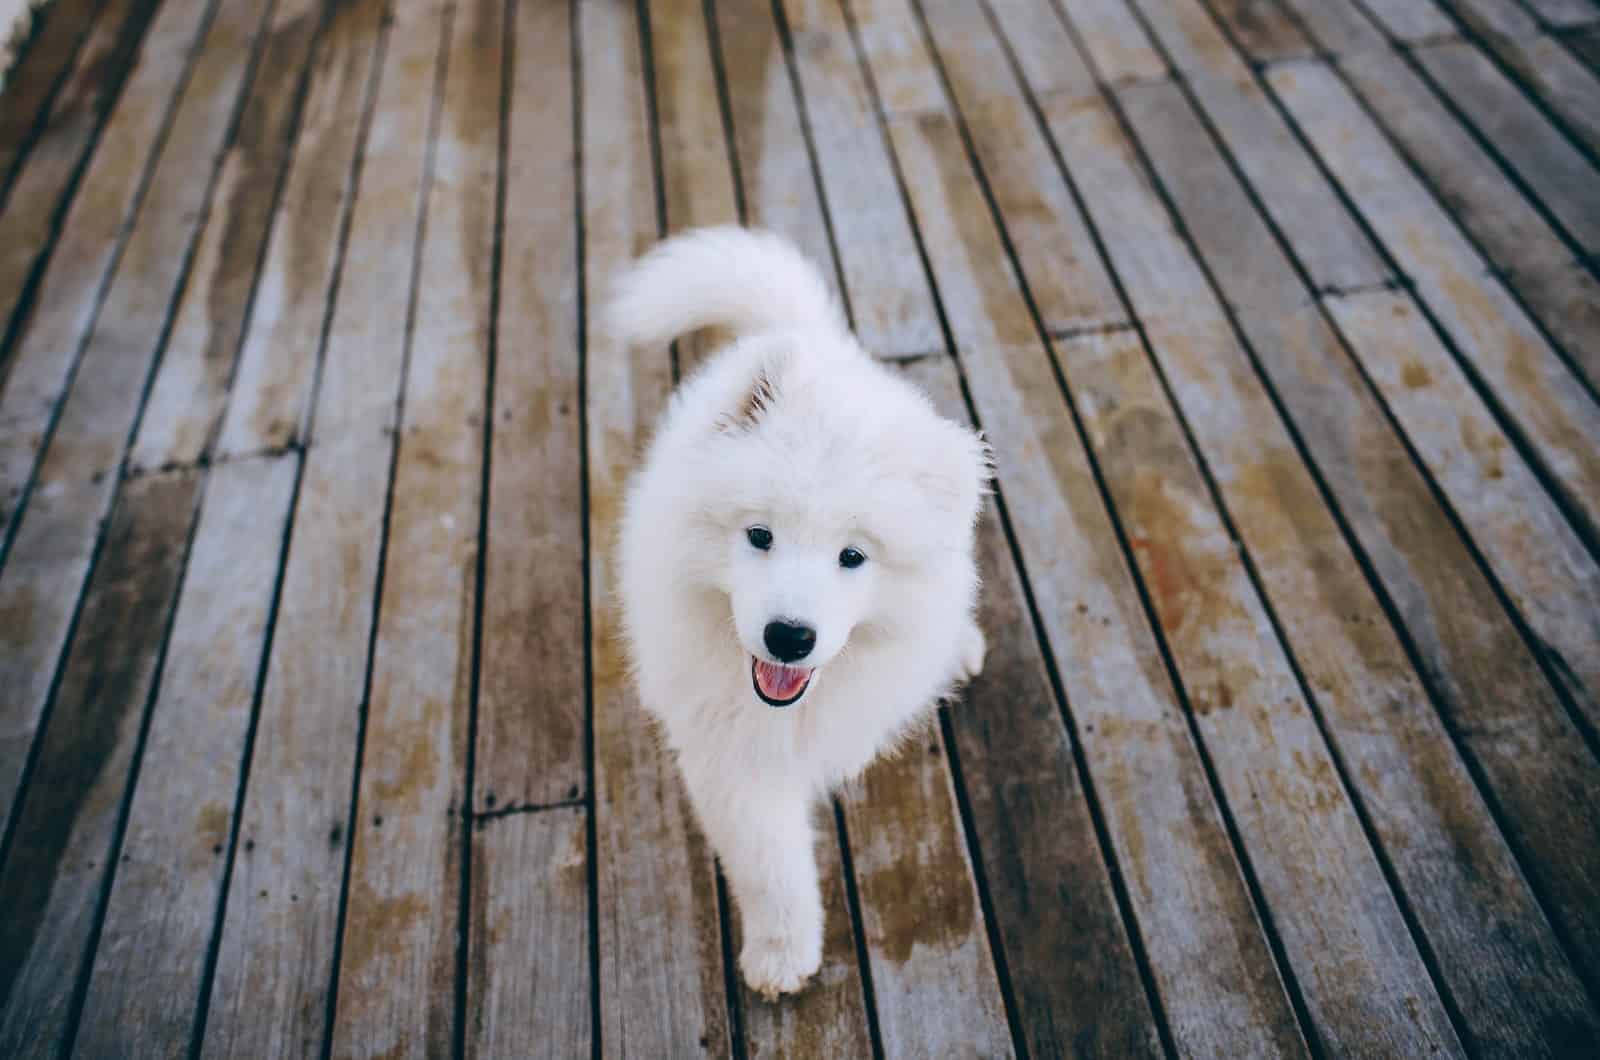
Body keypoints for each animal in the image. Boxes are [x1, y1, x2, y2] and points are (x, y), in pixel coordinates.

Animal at [608, 228, 992, 999]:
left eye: (853, 557)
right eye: (759, 535)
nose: (788, 637)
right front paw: (782, 953)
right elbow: (769, 865)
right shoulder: (731, 755)